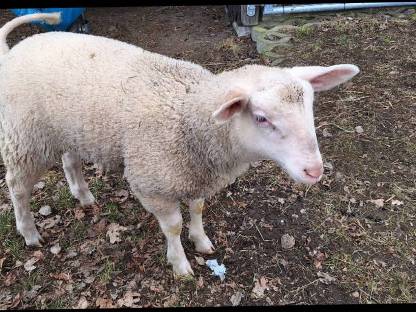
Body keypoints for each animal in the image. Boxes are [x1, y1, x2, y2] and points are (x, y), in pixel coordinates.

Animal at [0, 12, 360, 276]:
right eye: (260, 118)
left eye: (310, 105)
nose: (314, 171)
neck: (190, 116)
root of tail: (13, 50)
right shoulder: (153, 184)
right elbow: (173, 226)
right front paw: (181, 264)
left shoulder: (196, 173)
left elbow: (198, 208)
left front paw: (201, 241)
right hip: (24, 138)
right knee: (17, 187)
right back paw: (29, 232)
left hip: (68, 129)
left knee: (70, 160)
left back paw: (84, 196)